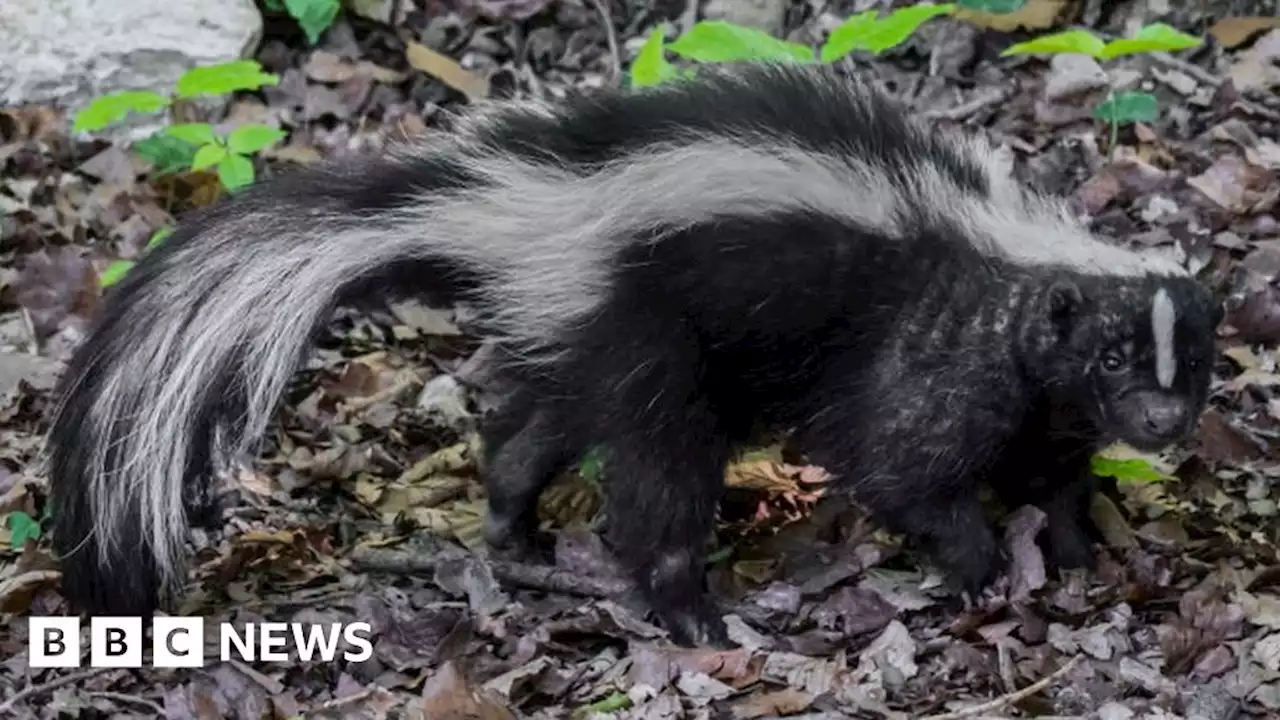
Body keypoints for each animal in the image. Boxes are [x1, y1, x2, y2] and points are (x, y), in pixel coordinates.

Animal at [45, 61, 1213, 645]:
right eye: (1117, 357)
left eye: (1187, 367)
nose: (1161, 423)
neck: (1005, 258)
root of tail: (515, 205)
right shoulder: (935, 349)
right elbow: (903, 464)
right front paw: (975, 568)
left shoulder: (1038, 394)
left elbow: (1053, 468)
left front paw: (1074, 545)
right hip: (647, 329)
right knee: (657, 473)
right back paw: (690, 612)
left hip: (584, 328)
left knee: (536, 432)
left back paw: (513, 530)